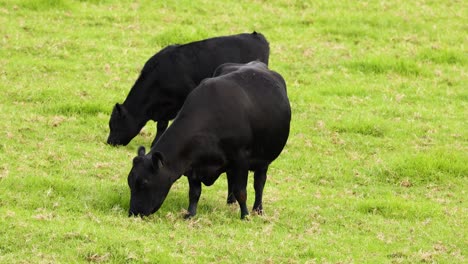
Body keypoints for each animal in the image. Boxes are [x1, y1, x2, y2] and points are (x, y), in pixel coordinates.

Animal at [126, 61, 290, 219]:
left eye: (144, 183)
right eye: (130, 182)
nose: (133, 213)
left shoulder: (241, 159)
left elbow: (241, 191)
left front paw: (245, 215)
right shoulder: (192, 164)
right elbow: (194, 193)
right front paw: (190, 215)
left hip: (263, 160)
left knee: (259, 183)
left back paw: (258, 210)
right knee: (231, 179)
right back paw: (230, 202)